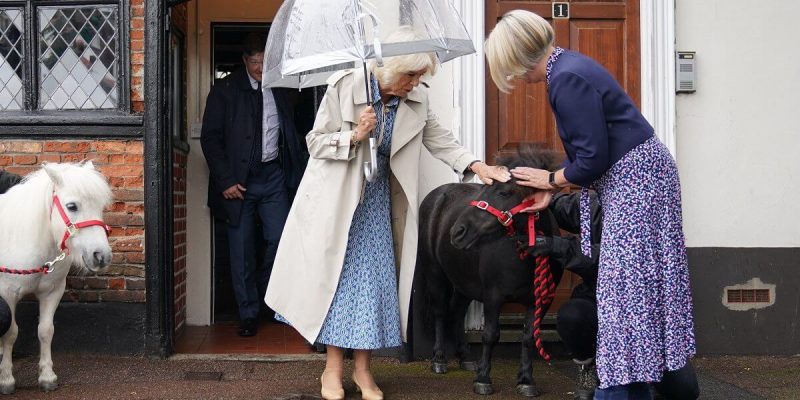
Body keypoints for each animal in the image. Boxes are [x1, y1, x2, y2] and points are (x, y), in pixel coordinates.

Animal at [0, 162, 111, 394]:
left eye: (101, 206)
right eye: (72, 206)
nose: (101, 256)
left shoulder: (52, 292)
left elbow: (45, 331)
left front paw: (47, 377)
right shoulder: (7, 294)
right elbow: (11, 333)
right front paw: (6, 379)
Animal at [418, 145, 564, 396]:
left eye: (504, 193)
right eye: (484, 189)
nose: (457, 232)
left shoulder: (541, 300)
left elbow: (528, 337)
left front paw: (526, 380)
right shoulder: (493, 296)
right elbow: (490, 335)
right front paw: (483, 379)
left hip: (464, 283)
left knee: (456, 312)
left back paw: (465, 357)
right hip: (435, 273)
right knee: (440, 312)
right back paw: (439, 359)